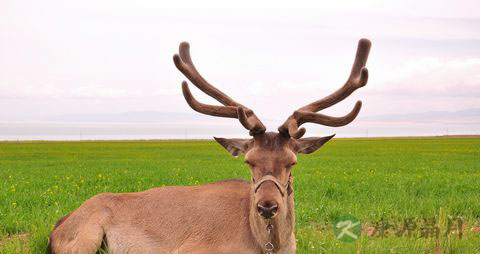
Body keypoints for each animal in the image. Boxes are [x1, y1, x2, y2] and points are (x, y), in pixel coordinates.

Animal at [48, 38, 372, 254]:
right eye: (249, 161)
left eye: (292, 161)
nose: (267, 206)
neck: (265, 246)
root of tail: (58, 226)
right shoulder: (191, 248)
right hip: (86, 236)